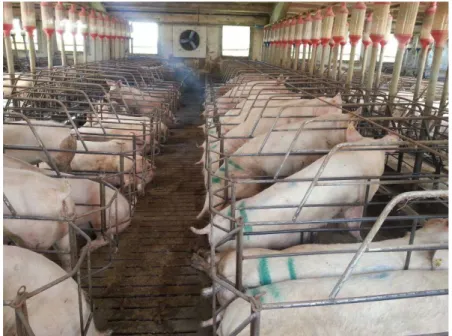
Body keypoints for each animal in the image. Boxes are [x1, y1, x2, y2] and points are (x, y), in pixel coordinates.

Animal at [191, 124, 400, 251]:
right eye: (381, 148)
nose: (392, 135)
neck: (360, 156)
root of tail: (208, 229)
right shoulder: (360, 197)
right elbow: (353, 220)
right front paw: (358, 237)